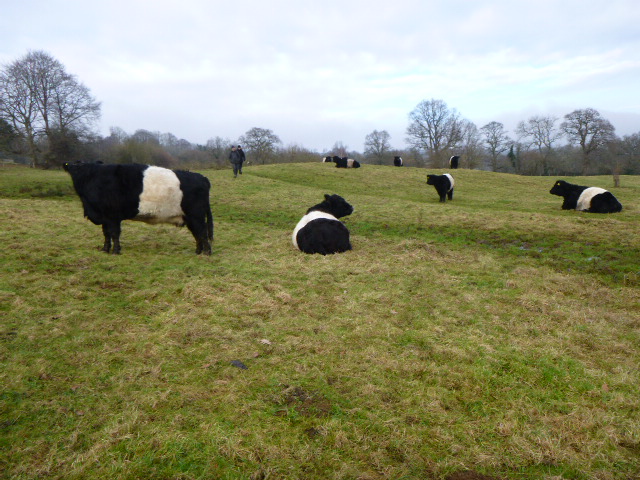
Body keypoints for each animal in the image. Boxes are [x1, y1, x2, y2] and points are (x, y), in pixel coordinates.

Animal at [64, 162, 215, 255]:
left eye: (79, 170)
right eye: (74, 171)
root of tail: (201, 177)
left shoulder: (112, 216)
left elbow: (114, 233)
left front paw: (115, 251)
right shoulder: (105, 217)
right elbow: (106, 233)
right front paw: (105, 249)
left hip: (196, 215)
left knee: (202, 232)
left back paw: (206, 253)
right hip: (189, 218)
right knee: (197, 234)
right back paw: (198, 252)